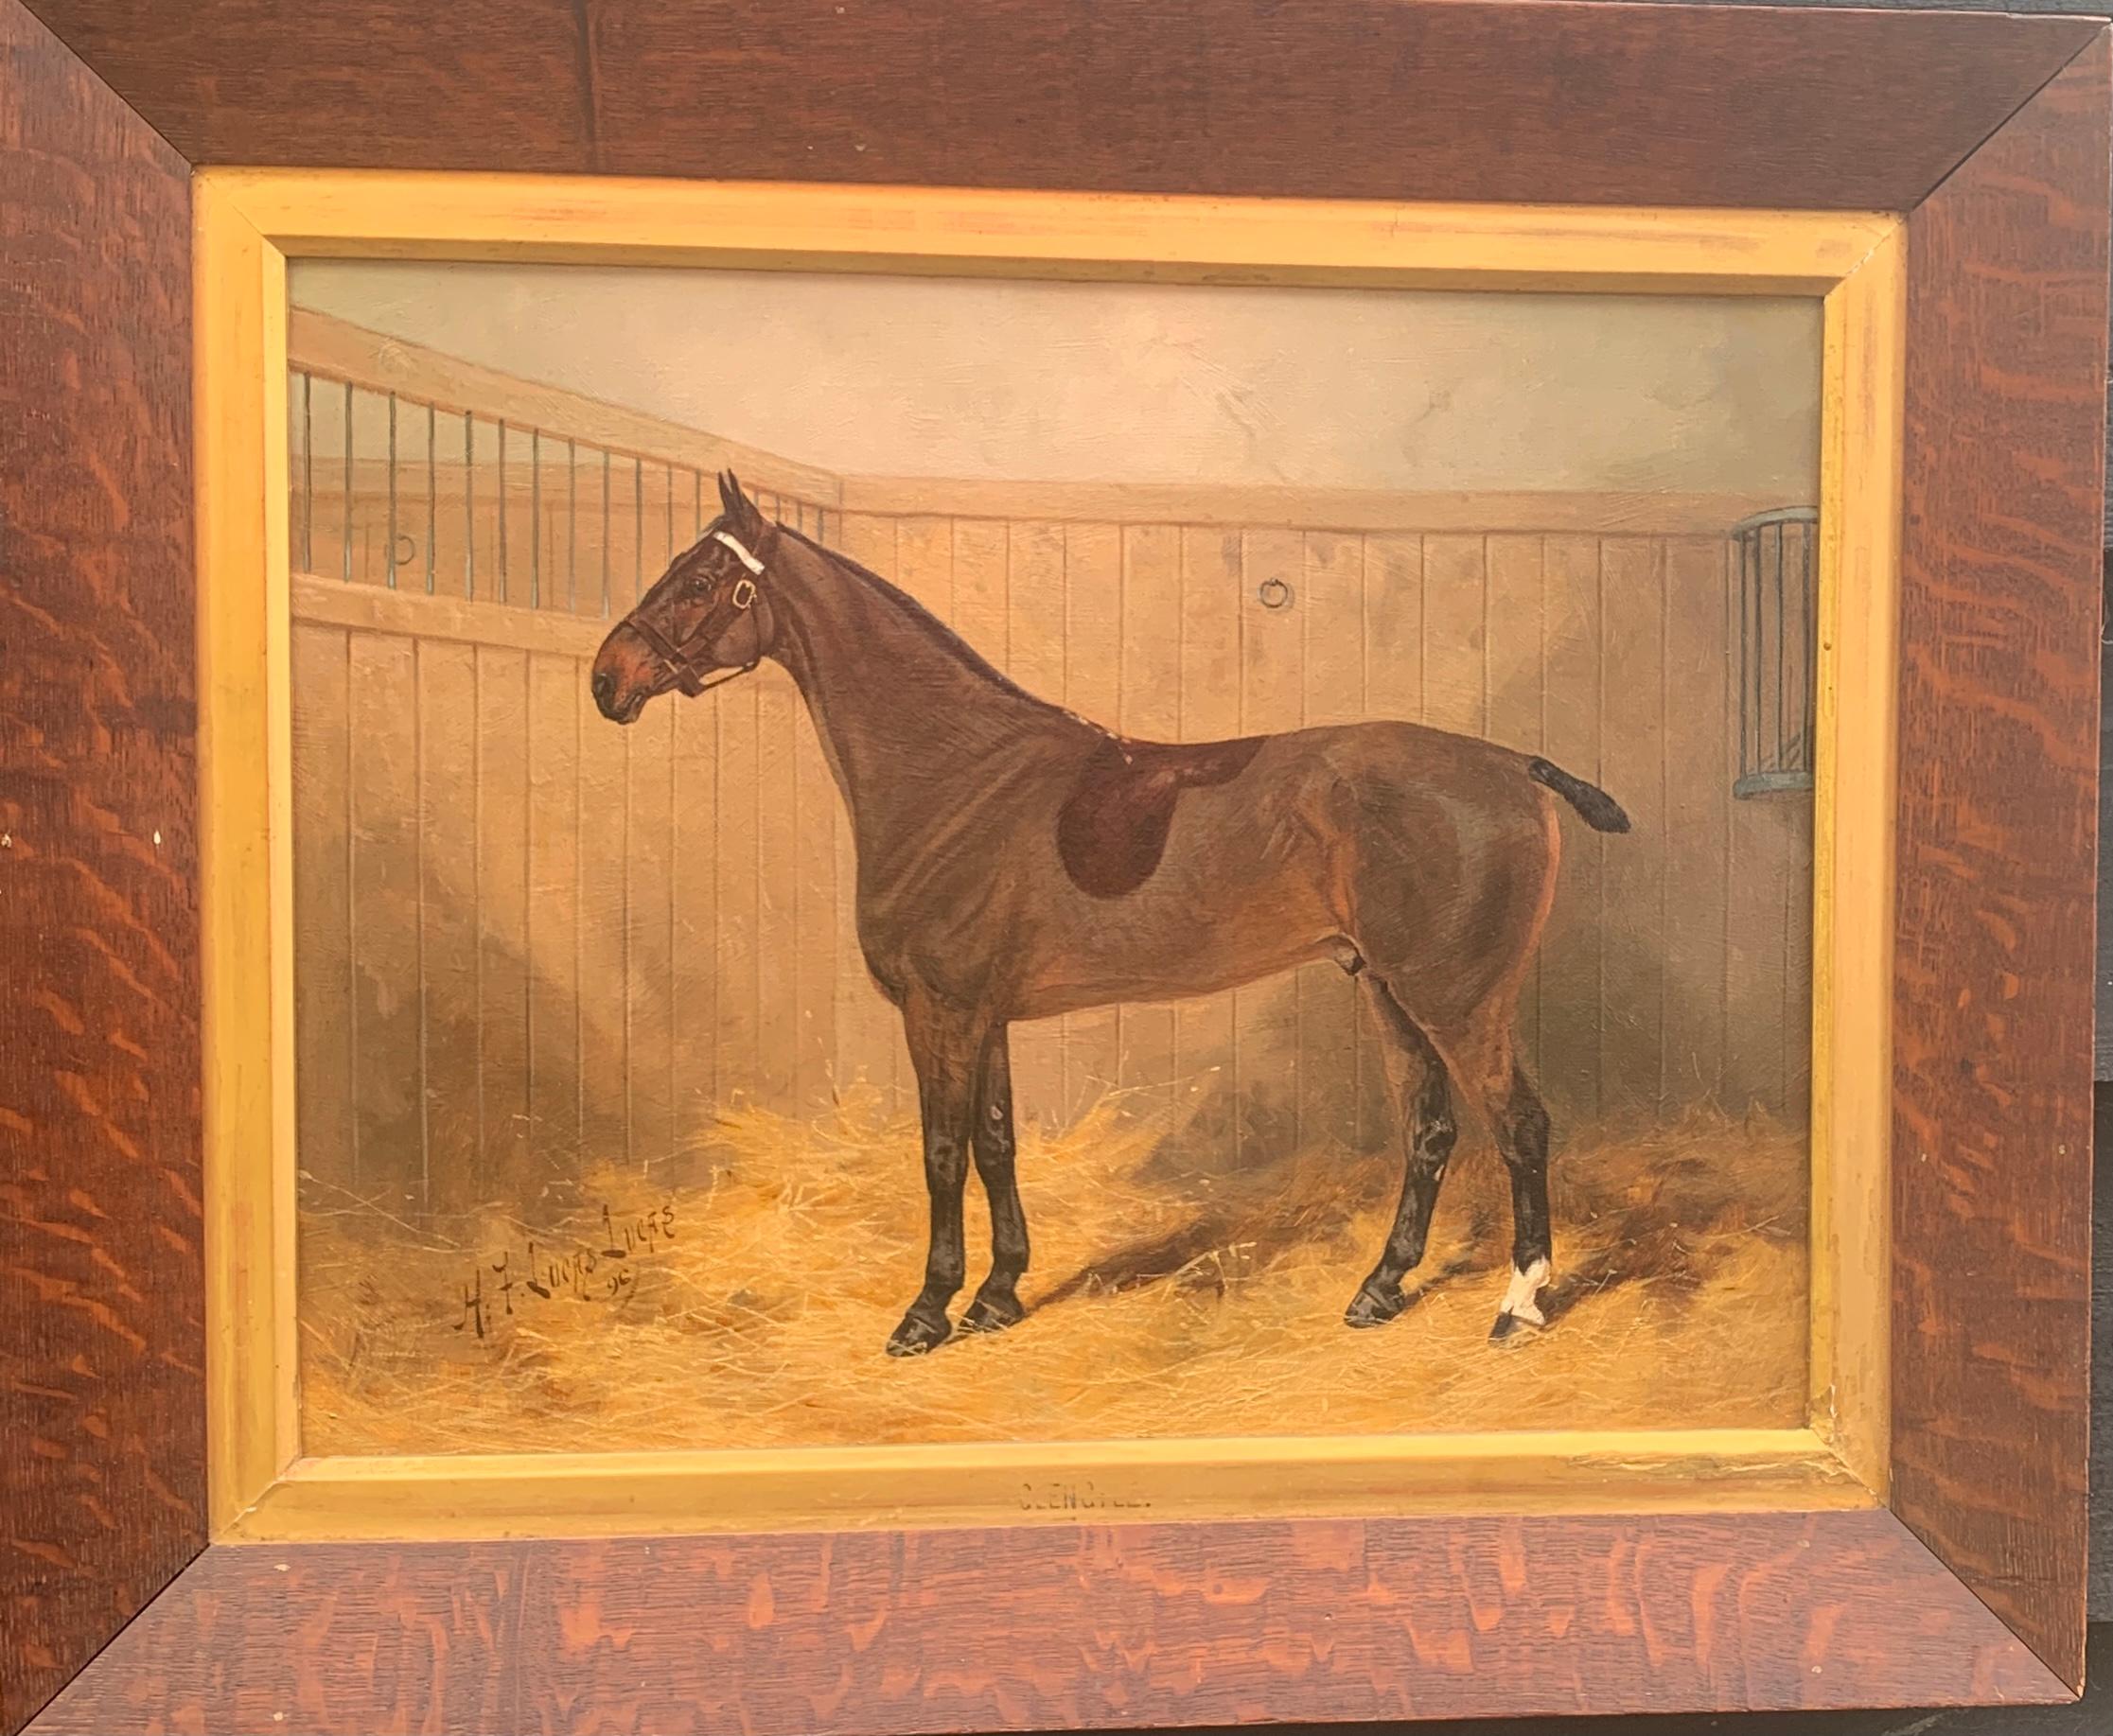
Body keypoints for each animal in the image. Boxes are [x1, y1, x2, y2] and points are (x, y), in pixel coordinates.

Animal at [595, 475, 1630, 1359]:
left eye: (699, 581)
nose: (608, 677)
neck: (956, 773)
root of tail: (1515, 765)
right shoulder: (986, 1015)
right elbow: (996, 1144)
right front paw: (998, 1296)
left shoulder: (941, 1011)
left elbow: (940, 1154)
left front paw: (927, 1311)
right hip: (1390, 991)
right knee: (1430, 1130)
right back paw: (1378, 1291)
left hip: (1455, 999)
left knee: (1520, 1126)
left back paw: (1518, 1305)